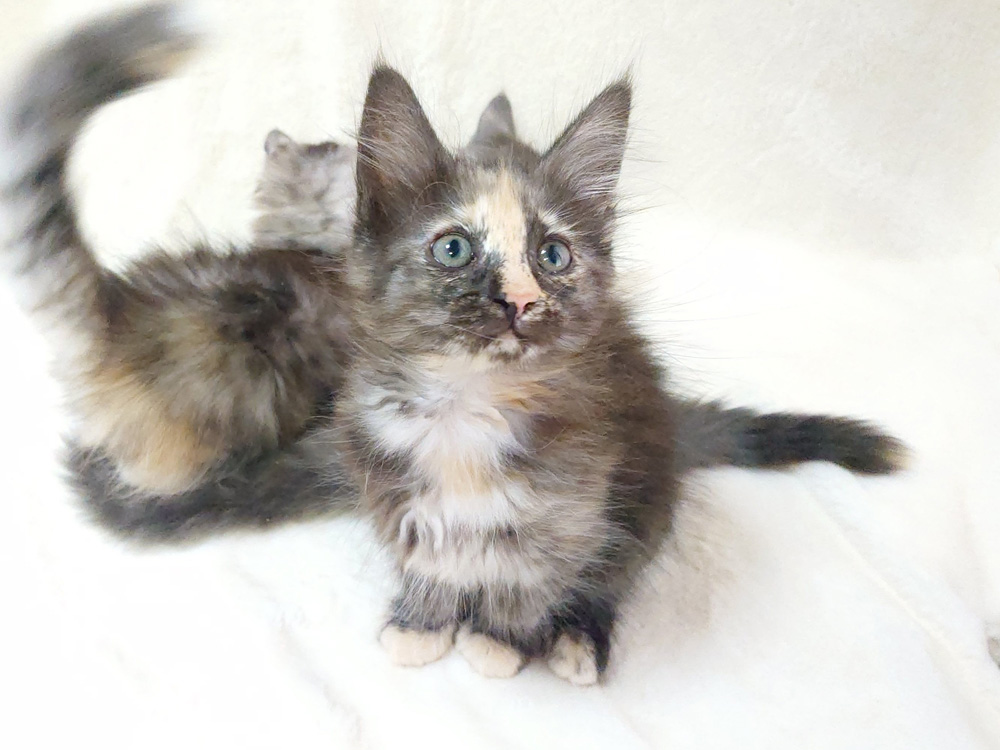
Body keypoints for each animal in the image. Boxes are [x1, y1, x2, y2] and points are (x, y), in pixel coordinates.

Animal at [1, 3, 905, 684]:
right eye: (455, 248)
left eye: (553, 255)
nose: (521, 302)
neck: (468, 411)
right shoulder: (386, 478)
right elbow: (429, 562)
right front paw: (422, 623)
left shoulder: (574, 503)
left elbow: (534, 577)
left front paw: (499, 643)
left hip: (645, 488)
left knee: (617, 569)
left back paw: (578, 640)